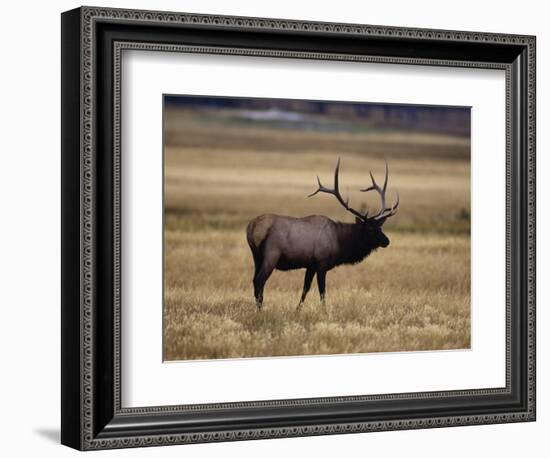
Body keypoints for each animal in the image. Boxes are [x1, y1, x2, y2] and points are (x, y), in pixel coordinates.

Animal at [248, 158, 398, 312]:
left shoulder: (311, 265)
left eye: (380, 227)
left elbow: (305, 288)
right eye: (370, 229)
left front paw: (297, 310)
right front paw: (324, 311)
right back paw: (260, 309)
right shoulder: (322, 263)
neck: (340, 242)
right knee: (260, 280)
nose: (387, 241)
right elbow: (322, 290)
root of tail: (252, 227)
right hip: (271, 255)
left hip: (257, 257)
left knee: (254, 280)